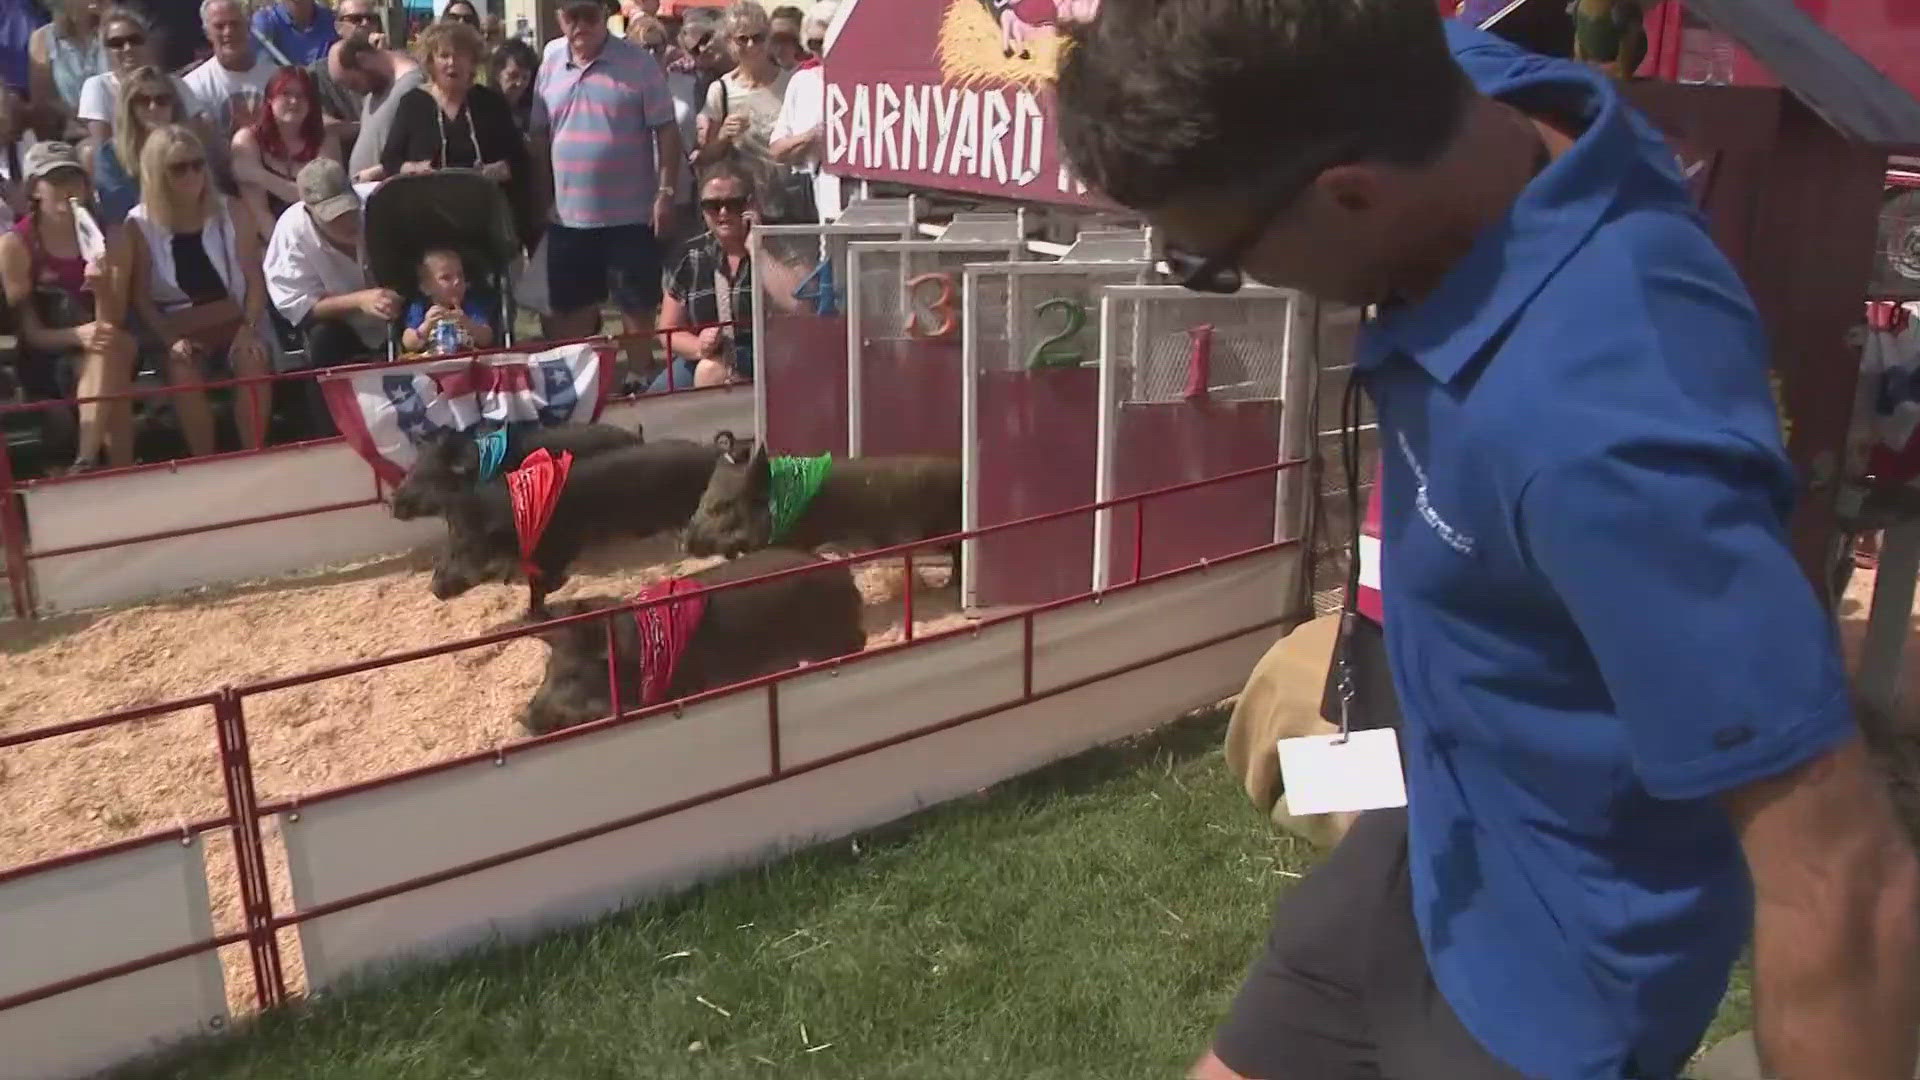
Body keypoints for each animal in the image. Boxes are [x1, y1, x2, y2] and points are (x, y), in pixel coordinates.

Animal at [432, 430, 721, 614]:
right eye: (449, 544)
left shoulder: (562, 547)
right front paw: (532, 614)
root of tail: (713, 451)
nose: (433, 588)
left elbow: (547, 582)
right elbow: (535, 592)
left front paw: (557, 589)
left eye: (465, 549)